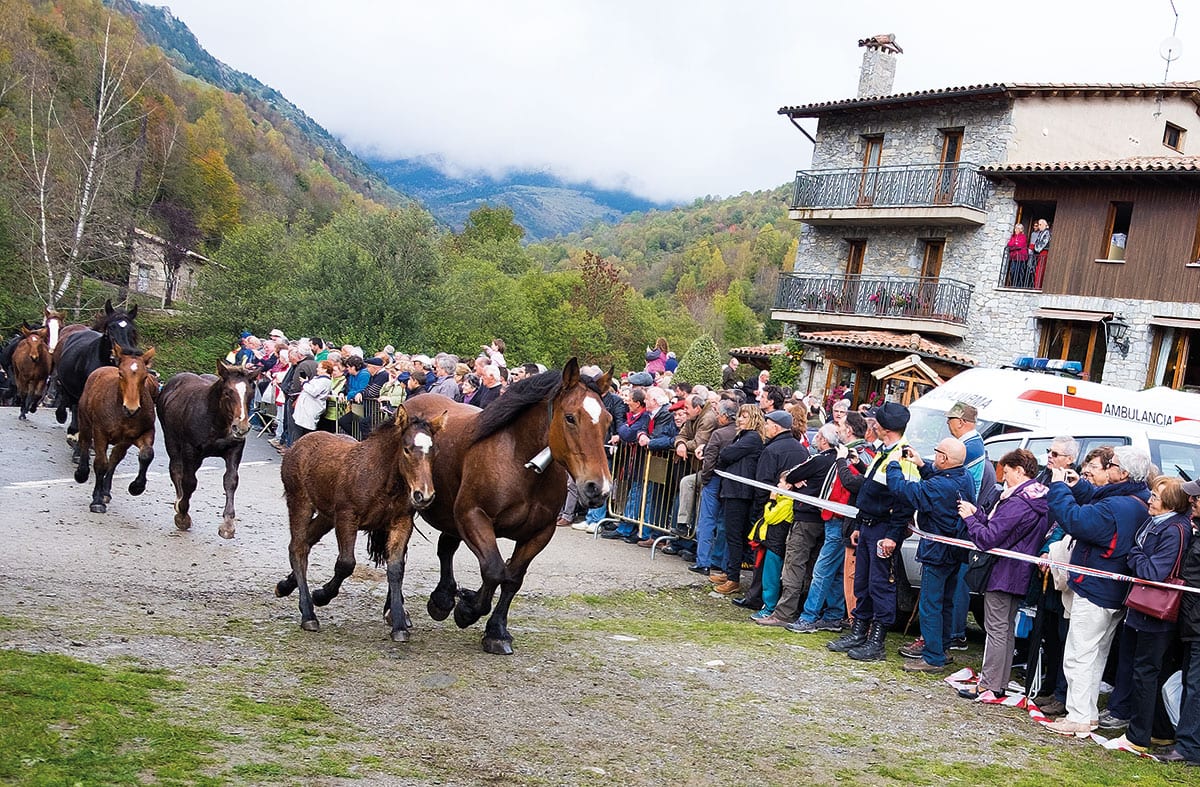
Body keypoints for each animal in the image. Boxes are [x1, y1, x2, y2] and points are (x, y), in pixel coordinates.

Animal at [73, 345, 157, 513]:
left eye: (145, 377)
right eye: (121, 374)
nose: (131, 408)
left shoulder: (139, 434)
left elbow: (146, 455)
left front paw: (136, 487)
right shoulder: (100, 432)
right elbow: (101, 463)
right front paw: (97, 501)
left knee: (115, 457)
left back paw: (105, 491)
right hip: (85, 421)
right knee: (85, 441)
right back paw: (82, 472)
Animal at [155, 361, 260, 539]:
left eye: (251, 393)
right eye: (227, 392)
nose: (241, 428)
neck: (215, 421)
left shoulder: (234, 449)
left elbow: (230, 480)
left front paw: (228, 525)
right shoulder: (190, 450)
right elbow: (189, 481)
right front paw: (182, 515)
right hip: (171, 439)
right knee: (176, 468)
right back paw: (179, 501)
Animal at [273, 405, 447, 639]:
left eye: (433, 451)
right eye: (407, 449)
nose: (424, 495)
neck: (383, 480)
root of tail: (298, 444)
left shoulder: (401, 521)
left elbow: (396, 568)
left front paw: (399, 625)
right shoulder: (346, 517)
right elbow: (346, 563)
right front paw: (321, 595)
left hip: (326, 515)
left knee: (306, 542)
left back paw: (284, 586)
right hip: (300, 502)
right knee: (298, 547)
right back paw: (308, 613)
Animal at [401, 358, 613, 655]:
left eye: (608, 421)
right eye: (570, 417)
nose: (598, 488)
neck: (520, 461)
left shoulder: (539, 533)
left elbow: (512, 577)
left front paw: (496, 630)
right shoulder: (473, 517)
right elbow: (494, 569)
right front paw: (467, 610)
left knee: (446, 549)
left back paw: (442, 598)